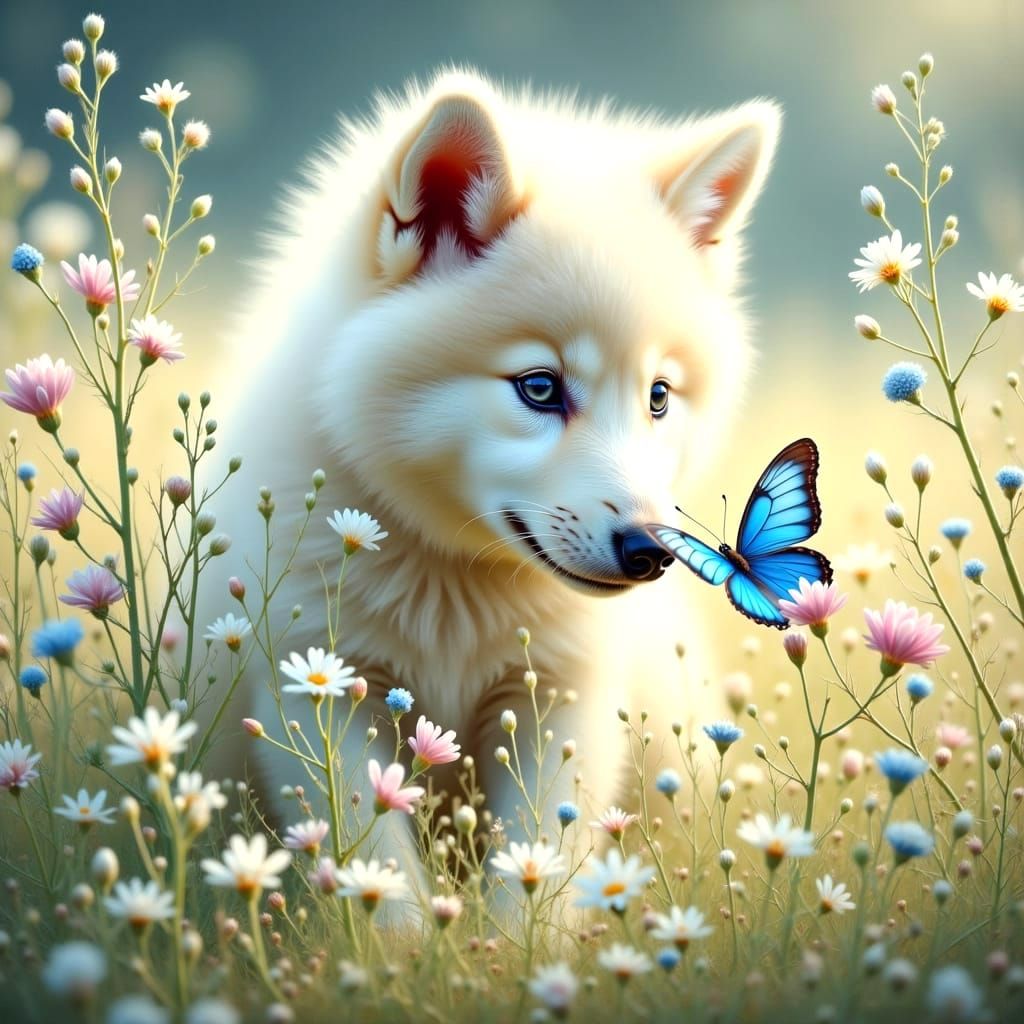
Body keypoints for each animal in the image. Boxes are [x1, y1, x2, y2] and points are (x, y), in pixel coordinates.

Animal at [209, 68, 779, 870]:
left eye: (659, 397)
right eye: (539, 387)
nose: (649, 553)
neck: (452, 586)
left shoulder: (560, 702)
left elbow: (537, 861)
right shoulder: (318, 686)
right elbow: (382, 869)